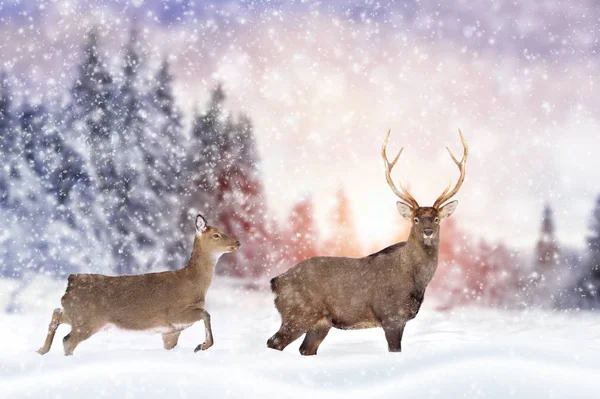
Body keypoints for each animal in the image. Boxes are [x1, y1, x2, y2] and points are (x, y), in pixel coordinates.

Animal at [36, 216, 239, 356]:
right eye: (216, 235)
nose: (237, 242)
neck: (193, 283)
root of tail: (71, 281)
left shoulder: (171, 331)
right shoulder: (175, 313)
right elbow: (206, 313)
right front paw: (201, 346)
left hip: (78, 314)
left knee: (57, 313)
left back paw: (41, 350)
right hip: (88, 319)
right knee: (68, 340)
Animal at [268, 130, 468, 354]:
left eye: (436, 219)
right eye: (416, 219)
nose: (427, 231)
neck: (415, 279)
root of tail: (276, 282)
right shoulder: (391, 315)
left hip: (320, 323)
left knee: (304, 349)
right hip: (298, 313)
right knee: (273, 342)